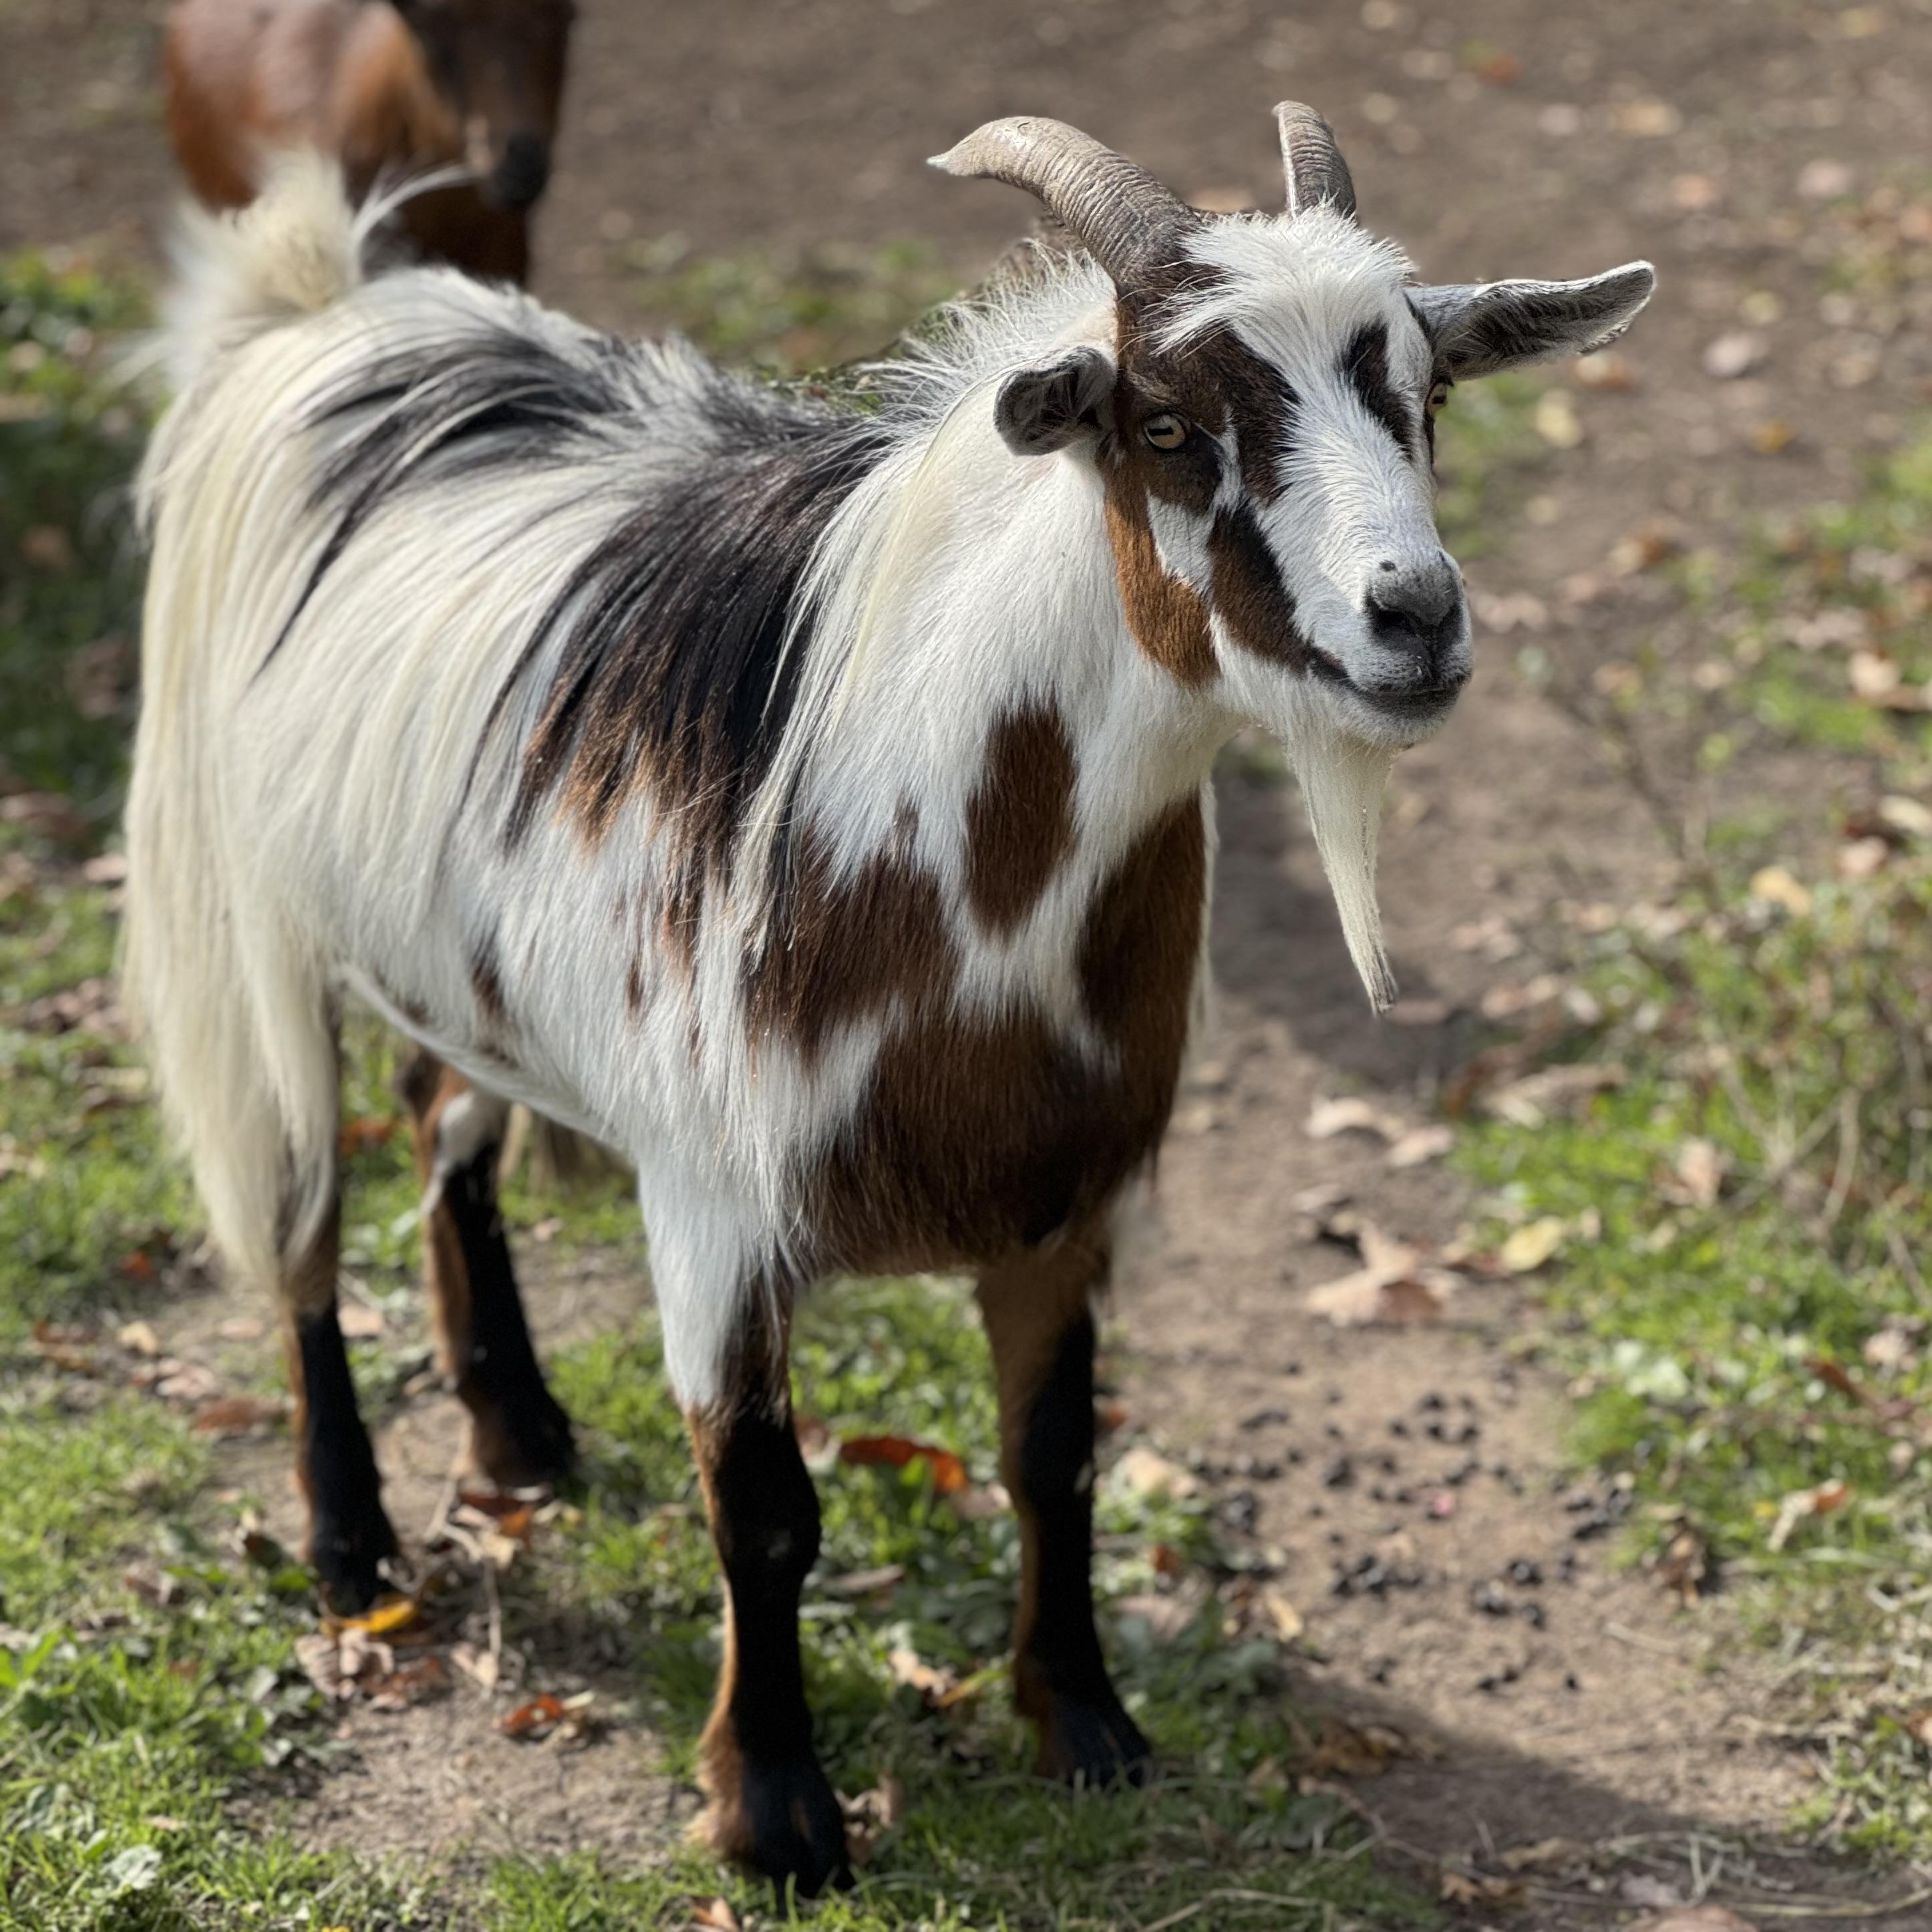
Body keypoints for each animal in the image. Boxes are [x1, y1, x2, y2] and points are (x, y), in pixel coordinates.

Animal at [125, 113, 1652, 1893]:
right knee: (300, 1216)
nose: (1415, 618)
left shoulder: (1069, 1195)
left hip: (459, 957)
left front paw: (1087, 1729)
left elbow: (1054, 1458)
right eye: (1163, 423)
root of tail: (325, 310)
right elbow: (765, 1508)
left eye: (1425, 391)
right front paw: (777, 1812)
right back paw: (351, 1546)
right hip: (247, 919)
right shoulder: (714, 1207)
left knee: (448, 1122)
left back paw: (517, 1434)